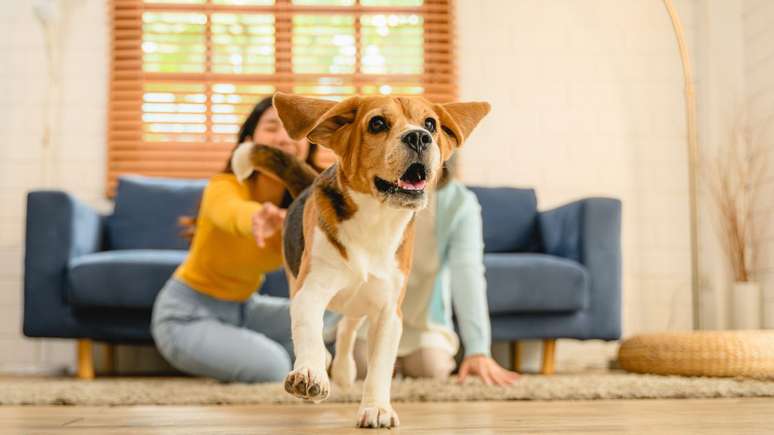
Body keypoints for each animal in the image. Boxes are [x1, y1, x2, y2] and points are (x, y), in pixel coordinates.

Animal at [229, 93, 492, 430]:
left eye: (430, 124)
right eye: (377, 123)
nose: (419, 137)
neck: (374, 221)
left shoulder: (388, 312)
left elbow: (379, 366)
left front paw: (376, 408)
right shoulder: (310, 291)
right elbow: (308, 332)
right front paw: (310, 372)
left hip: (363, 297)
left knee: (347, 327)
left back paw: (343, 371)